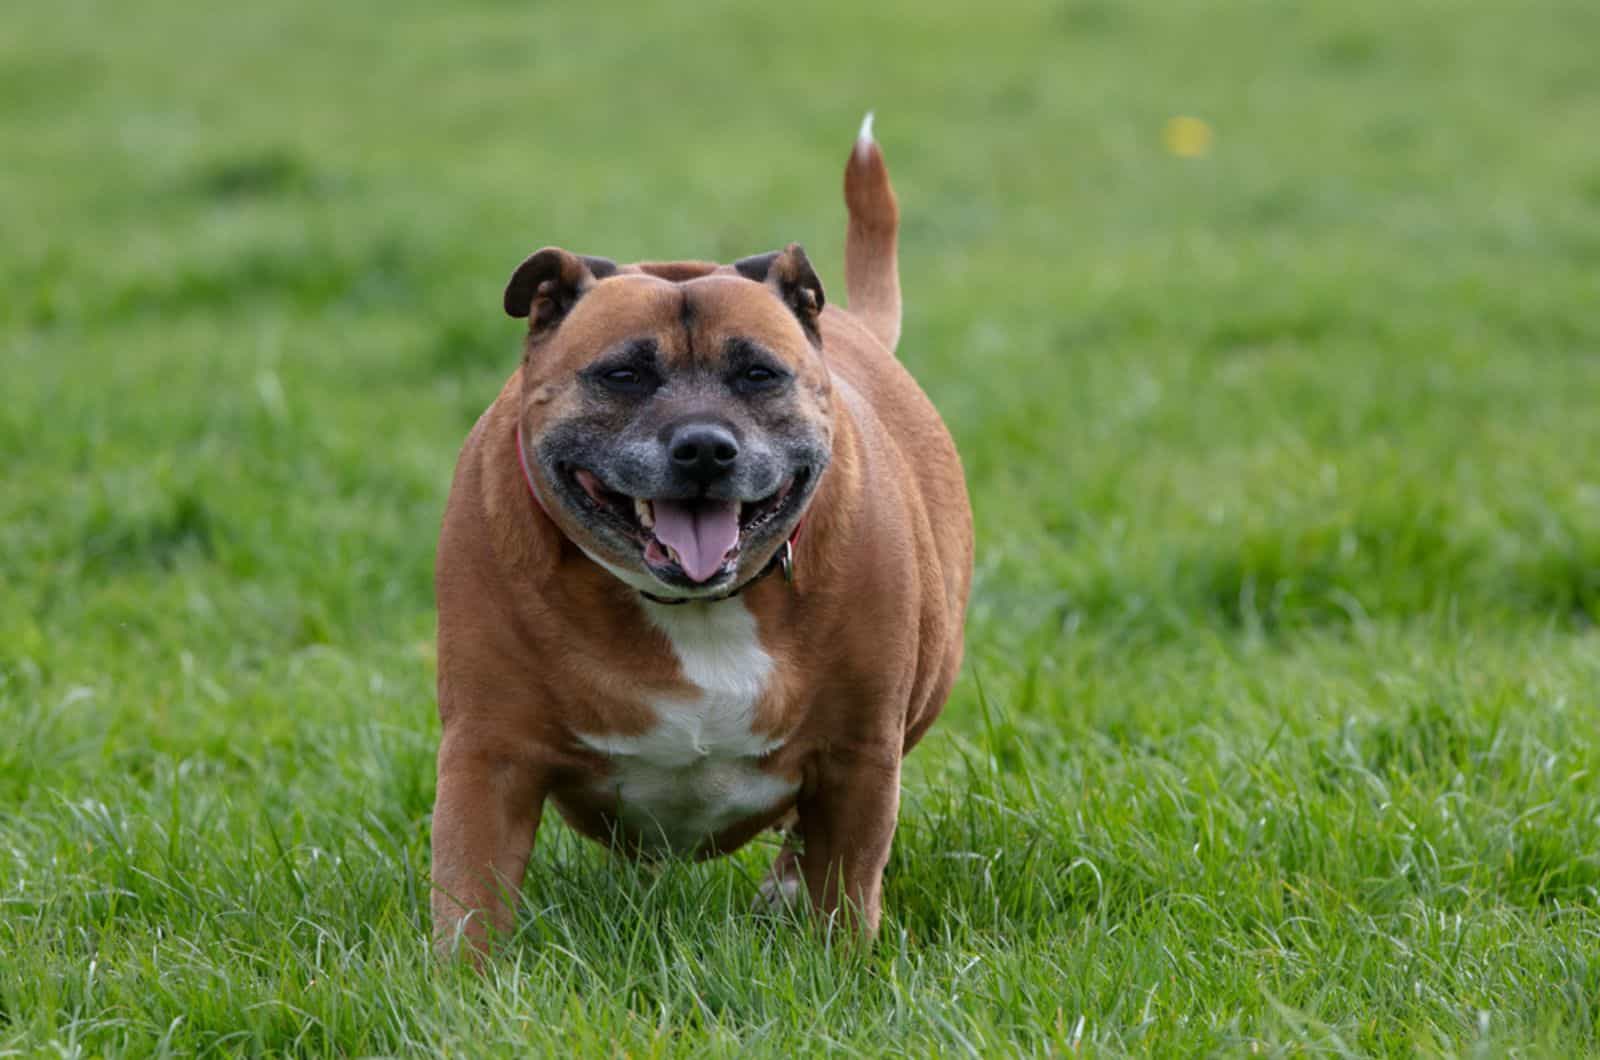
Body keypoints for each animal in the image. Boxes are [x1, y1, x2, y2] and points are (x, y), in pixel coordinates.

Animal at [432, 114, 966, 954]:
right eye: (622, 375)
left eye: (759, 374)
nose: (706, 448)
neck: (695, 606)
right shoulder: (489, 752)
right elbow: (469, 900)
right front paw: (463, 982)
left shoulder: (859, 758)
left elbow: (846, 889)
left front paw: (837, 962)